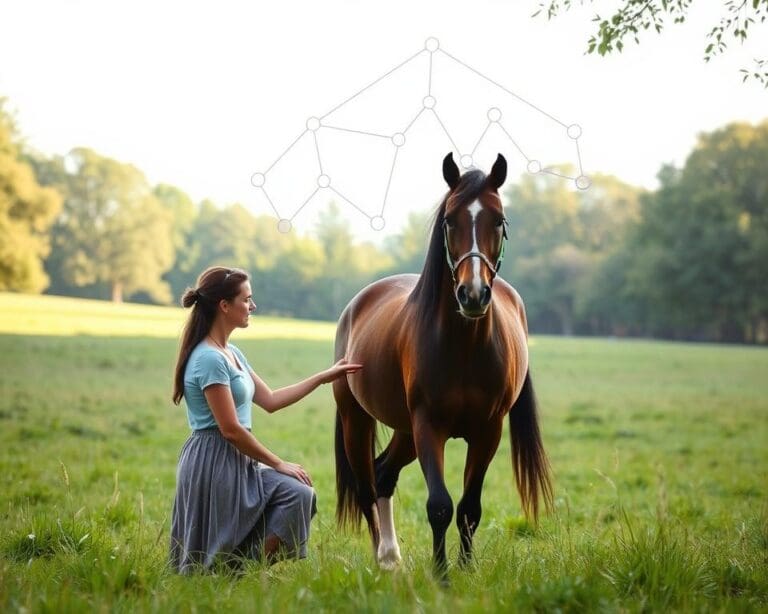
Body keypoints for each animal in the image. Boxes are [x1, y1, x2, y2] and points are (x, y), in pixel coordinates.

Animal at [332, 154, 552, 576]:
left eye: (499, 220)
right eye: (450, 220)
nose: (473, 294)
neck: (463, 347)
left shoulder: (487, 431)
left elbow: (469, 508)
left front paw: (465, 570)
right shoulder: (428, 426)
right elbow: (439, 505)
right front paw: (441, 575)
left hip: (404, 431)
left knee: (383, 475)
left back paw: (392, 556)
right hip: (358, 420)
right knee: (367, 486)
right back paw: (382, 559)